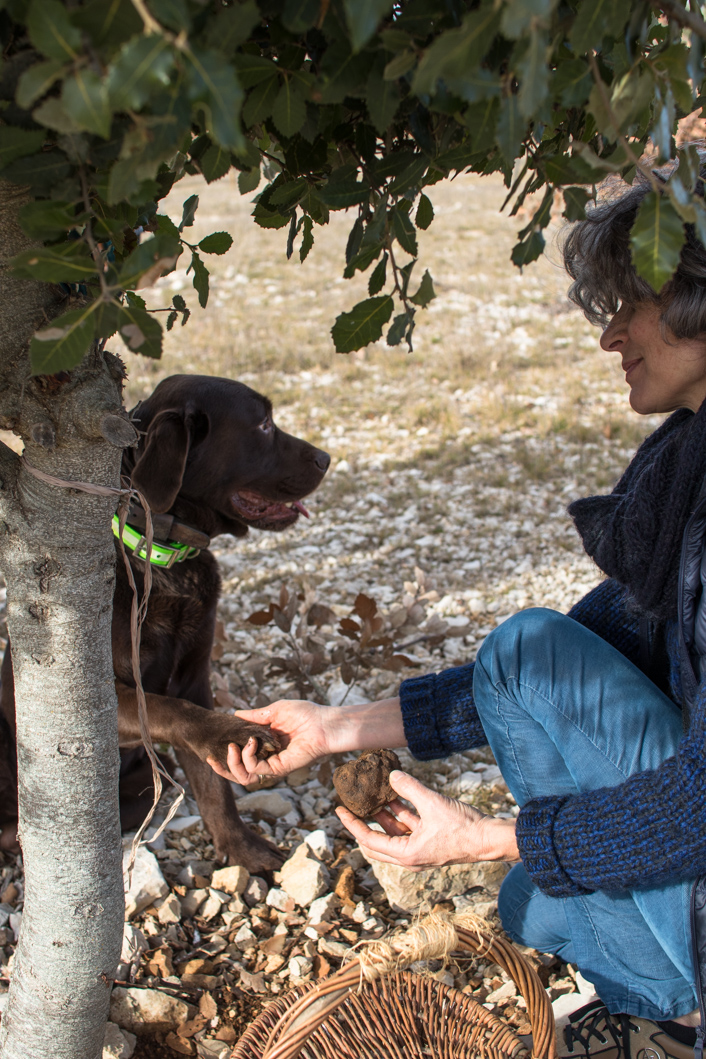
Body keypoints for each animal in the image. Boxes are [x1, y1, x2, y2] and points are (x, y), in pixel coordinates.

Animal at [0, 375, 330, 872]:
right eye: (264, 425)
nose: (326, 458)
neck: (161, 556)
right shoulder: (108, 699)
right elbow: (173, 712)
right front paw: (231, 732)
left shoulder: (193, 677)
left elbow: (214, 784)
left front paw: (244, 849)